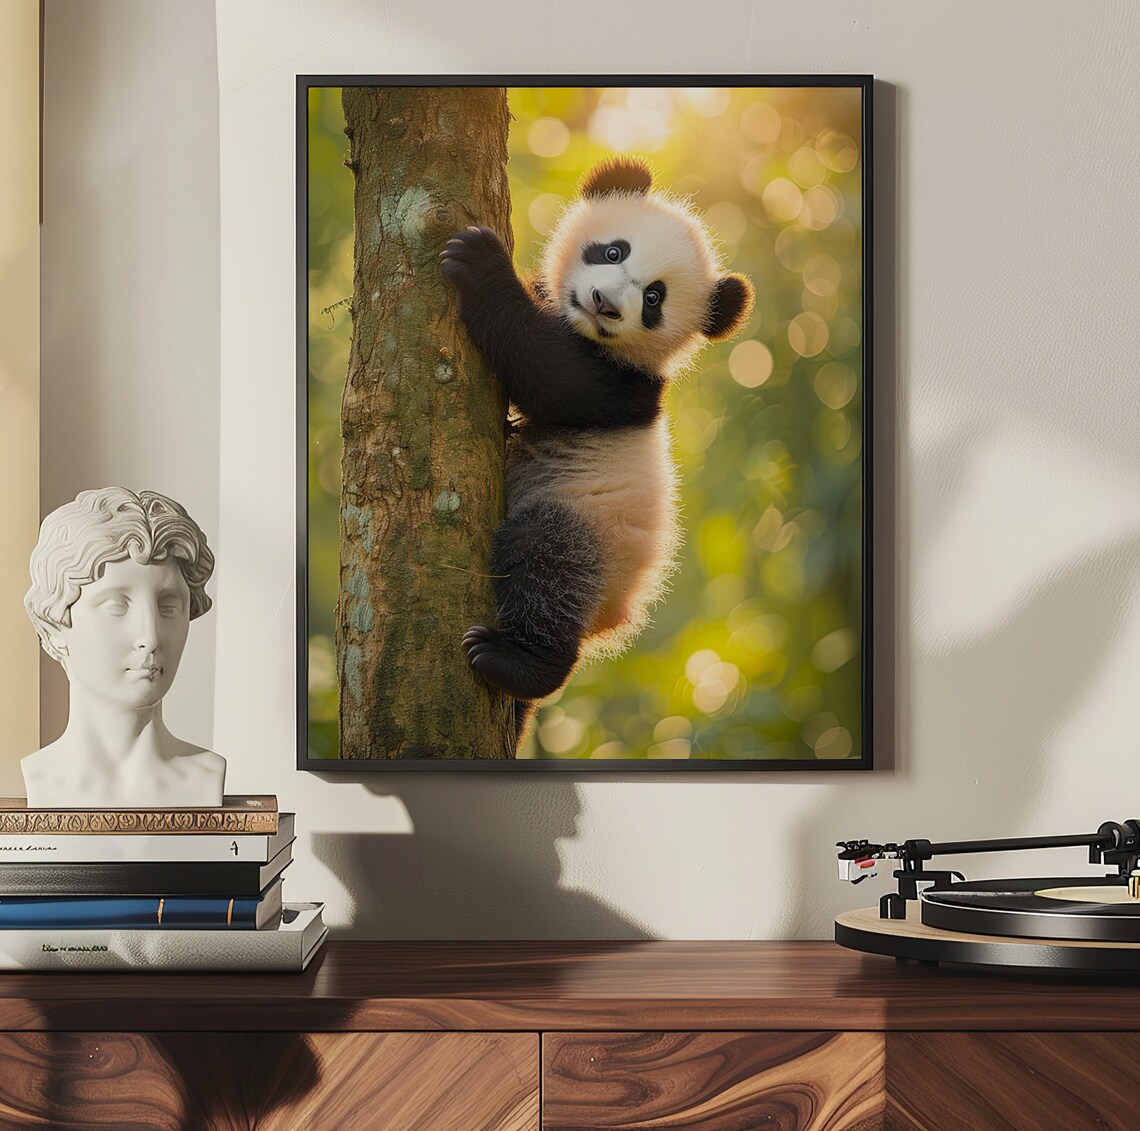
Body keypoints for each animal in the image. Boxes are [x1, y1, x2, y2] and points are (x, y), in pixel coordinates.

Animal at [440, 154, 755, 736]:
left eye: (654, 298)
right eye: (613, 251)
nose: (605, 304)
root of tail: (610, 618)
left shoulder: (621, 387)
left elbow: (546, 370)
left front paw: (479, 262)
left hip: (594, 532)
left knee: (547, 560)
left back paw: (518, 662)